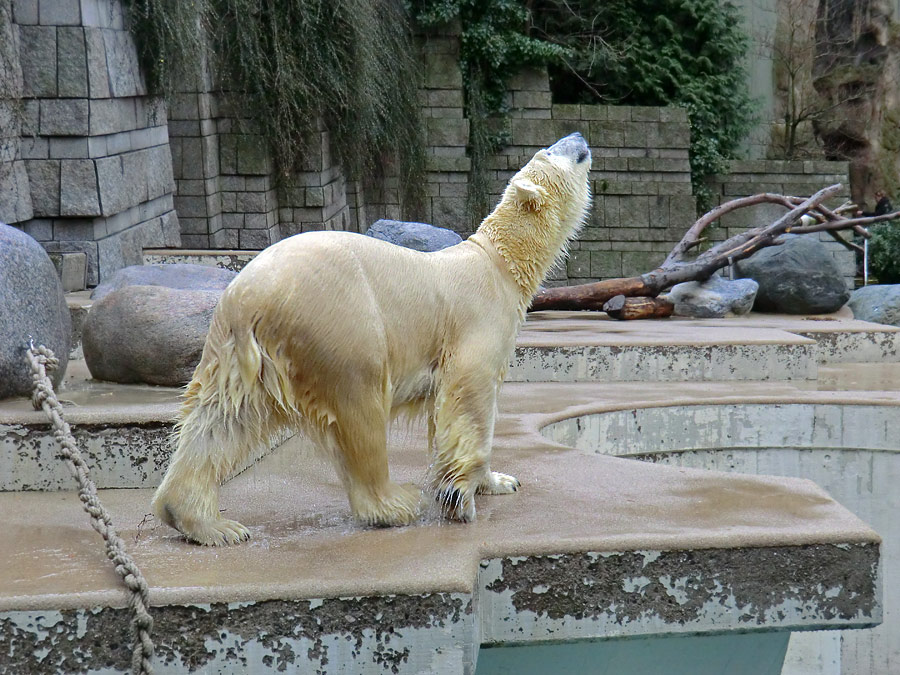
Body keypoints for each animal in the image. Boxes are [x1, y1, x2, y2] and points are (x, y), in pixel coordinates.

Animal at [153, 131, 592, 544]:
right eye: (551, 151)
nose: (578, 136)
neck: (499, 263)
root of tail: (249, 294)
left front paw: (499, 481)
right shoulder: (477, 322)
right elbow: (469, 396)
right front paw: (460, 500)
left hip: (238, 350)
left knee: (222, 420)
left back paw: (206, 521)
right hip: (341, 324)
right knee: (360, 409)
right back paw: (396, 503)